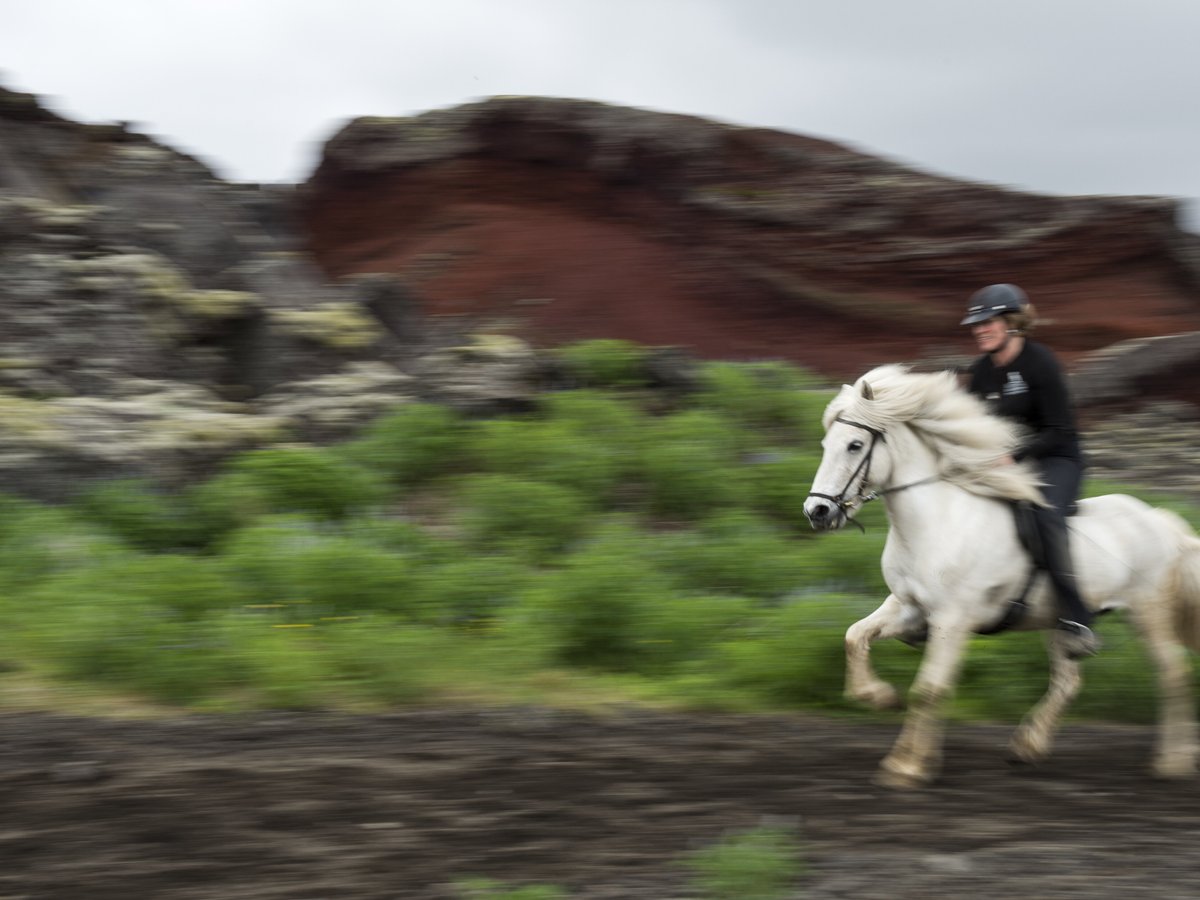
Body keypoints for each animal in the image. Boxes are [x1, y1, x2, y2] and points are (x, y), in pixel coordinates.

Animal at [806, 364, 1200, 787]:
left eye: (854, 445)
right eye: (825, 443)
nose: (817, 512)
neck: (936, 520)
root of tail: (1159, 519)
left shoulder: (952, 620)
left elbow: (929, 688)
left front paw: (907, 766)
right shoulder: (908, 608)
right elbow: (855, 637)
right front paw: (879, 698)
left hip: (1148, 612)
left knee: (1172, 672)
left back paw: (1173, 761)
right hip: (1058, 623)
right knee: (1068, 681)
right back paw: (1028, 746)